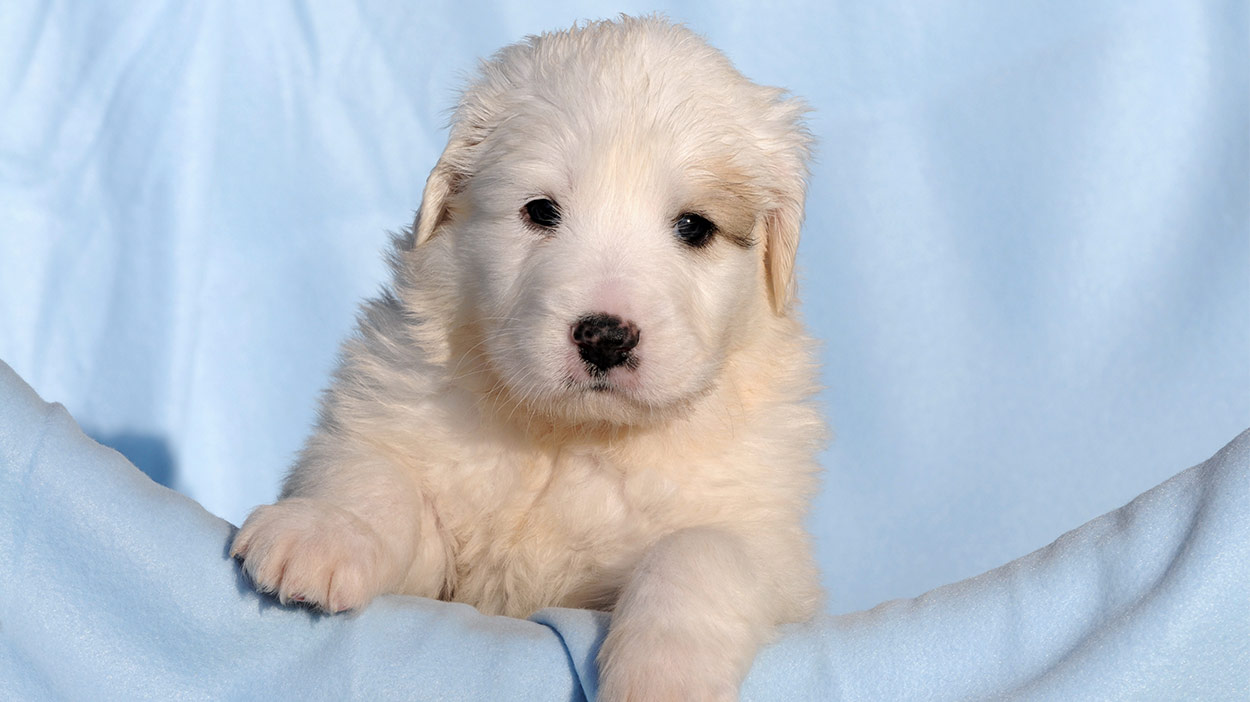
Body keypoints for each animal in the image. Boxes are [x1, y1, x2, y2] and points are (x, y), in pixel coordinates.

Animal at [231, 16, 825, 699]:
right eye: (541, 211)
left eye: (694, 227)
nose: (605, 337)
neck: (571, 438)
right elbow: (376, 479)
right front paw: (324, 534)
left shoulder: (770, 544)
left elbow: (702, 551)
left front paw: (662, 672)